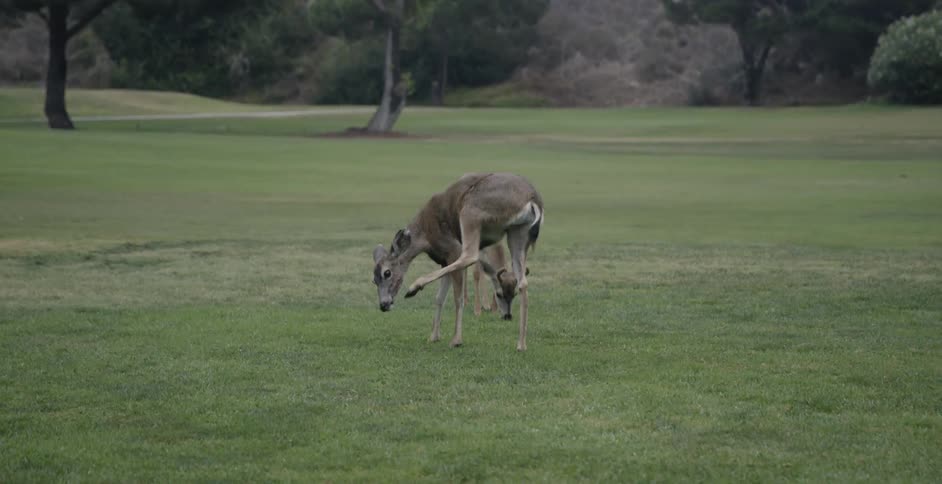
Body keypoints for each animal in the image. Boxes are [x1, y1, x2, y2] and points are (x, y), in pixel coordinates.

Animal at [371, 173, 544, 351]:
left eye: (387, 272)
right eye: (373, 280)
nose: (383, 305)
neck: (425, 236)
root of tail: (533, 200)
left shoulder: (451, 249)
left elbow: (457, 297)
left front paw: (456, 339)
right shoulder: (444, 260)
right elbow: (439, 297)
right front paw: (433, 336)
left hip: (470, 212)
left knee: (470, 255)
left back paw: (415, 287)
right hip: (518, 231)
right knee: (522, 281)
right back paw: (521, 344)